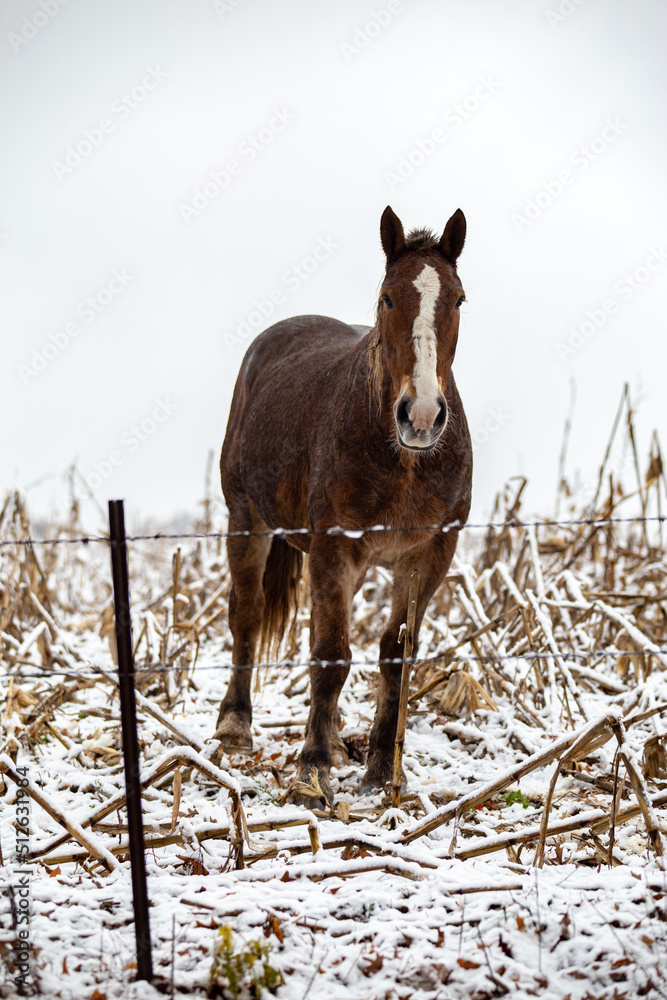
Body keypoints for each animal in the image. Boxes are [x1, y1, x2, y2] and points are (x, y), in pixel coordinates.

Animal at [215, 206, 473, 805]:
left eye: (457, 299)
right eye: (388, 298)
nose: (421, 415)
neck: (404, 459)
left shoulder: (428, 557)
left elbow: (394, 656)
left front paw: (383, 769)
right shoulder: (334, 550)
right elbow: (330, 656)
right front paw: (311, 774)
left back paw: (333, 738)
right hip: (246, 520)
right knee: (248, 615)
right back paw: (236, 725)